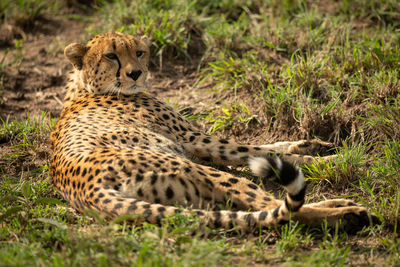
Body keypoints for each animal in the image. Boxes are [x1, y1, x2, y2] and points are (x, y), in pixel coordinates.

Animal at [50, 31, 376, 234]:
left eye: (139, 52)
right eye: (111, 56)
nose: (136, 73)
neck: (84, 87)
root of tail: (88, 188)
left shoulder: (197, 145)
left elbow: (269, 147)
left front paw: (312, 144)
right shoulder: (196, 141)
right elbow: (255, 150)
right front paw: (335, 161)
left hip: (190, 197)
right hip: (199, 172)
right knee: (277, 207)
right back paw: (347, 213)